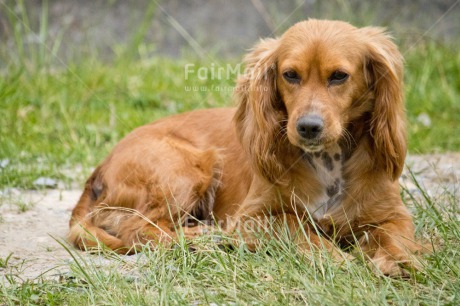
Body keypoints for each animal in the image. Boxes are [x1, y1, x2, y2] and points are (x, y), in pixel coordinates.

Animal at [66, 20, 422, 276]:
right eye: (290, 75)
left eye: (339, 76)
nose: (308, 127)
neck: (327, 161)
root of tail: (100, 167)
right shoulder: (252, 217)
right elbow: (295, 225)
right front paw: (334, 258)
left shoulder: (393, 213)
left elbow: (398, 236)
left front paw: (398, 261)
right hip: (187, 168)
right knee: (138, 228)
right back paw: (200, 239)